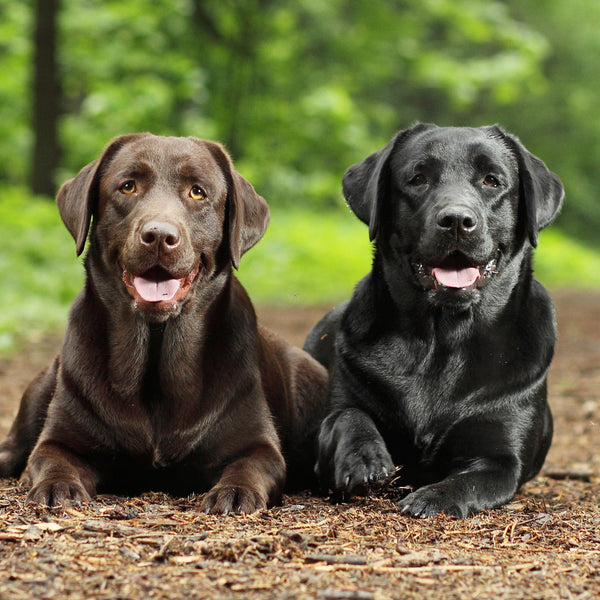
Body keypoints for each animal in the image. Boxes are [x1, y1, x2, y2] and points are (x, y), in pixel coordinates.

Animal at [0, 132, 328, 510]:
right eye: (127, 186)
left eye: (198, 192)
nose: (159, 236)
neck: (155, 363)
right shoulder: (59, 440)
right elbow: (50, 457)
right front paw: (57, 487)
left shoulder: (258, 446)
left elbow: (250, 467)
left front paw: (235, 493)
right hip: (43, 385)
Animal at [304, 124, 564, 516]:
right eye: (417, 179)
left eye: (491, 180)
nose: (456, 221)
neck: (442, 340)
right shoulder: (336, 410)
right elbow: (347, 417)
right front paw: (363, 460)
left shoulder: (503, 458)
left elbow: (467, 480)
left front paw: (430, 497)